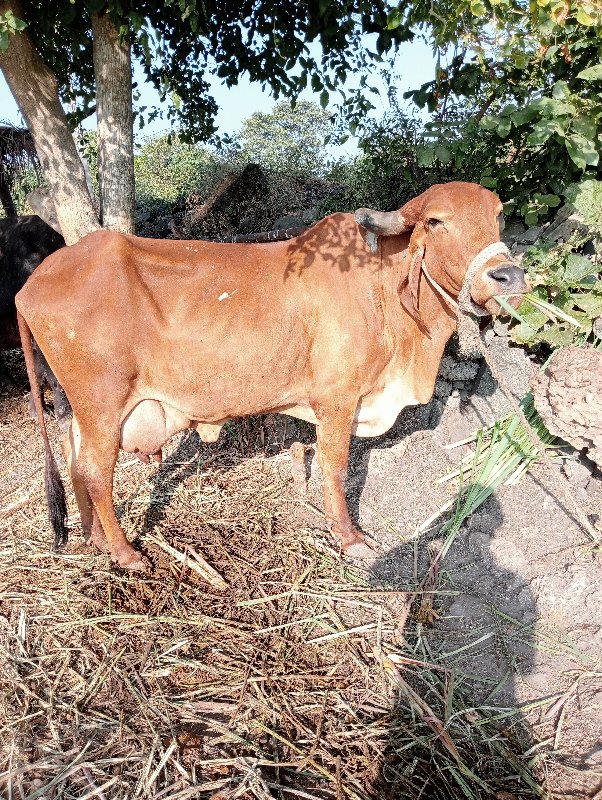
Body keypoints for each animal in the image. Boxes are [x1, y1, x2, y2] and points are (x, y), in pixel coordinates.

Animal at [16, 181, 528, 568]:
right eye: (437, 221)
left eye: (498, 215)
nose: (509, 277)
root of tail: (32, 283)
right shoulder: (337, 400)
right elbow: (335, 467)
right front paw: (349, 538)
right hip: (103, 405)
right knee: (95, 471)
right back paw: (125, 553)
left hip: (85, 409)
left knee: (75, 461)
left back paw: (96, 538)